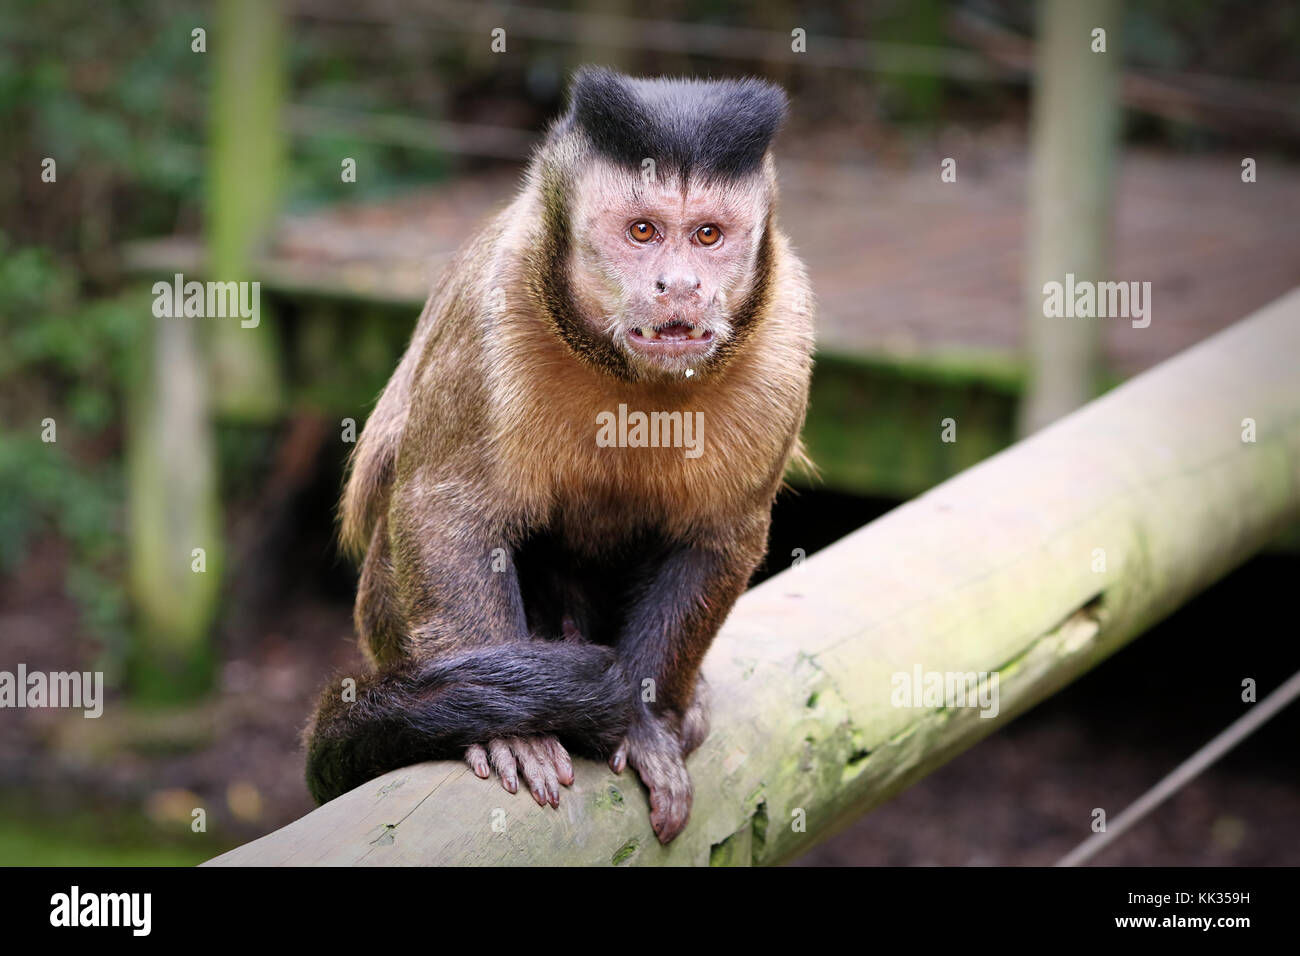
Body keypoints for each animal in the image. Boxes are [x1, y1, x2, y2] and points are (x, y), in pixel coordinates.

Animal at [304, 66, 814, 844]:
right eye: (642, 231)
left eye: (708, 235)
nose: (680, 284)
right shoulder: (497, 300)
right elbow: (445, 513)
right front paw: (515, 732)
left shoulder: (784, 335)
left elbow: (719, 538)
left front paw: (643, 725)